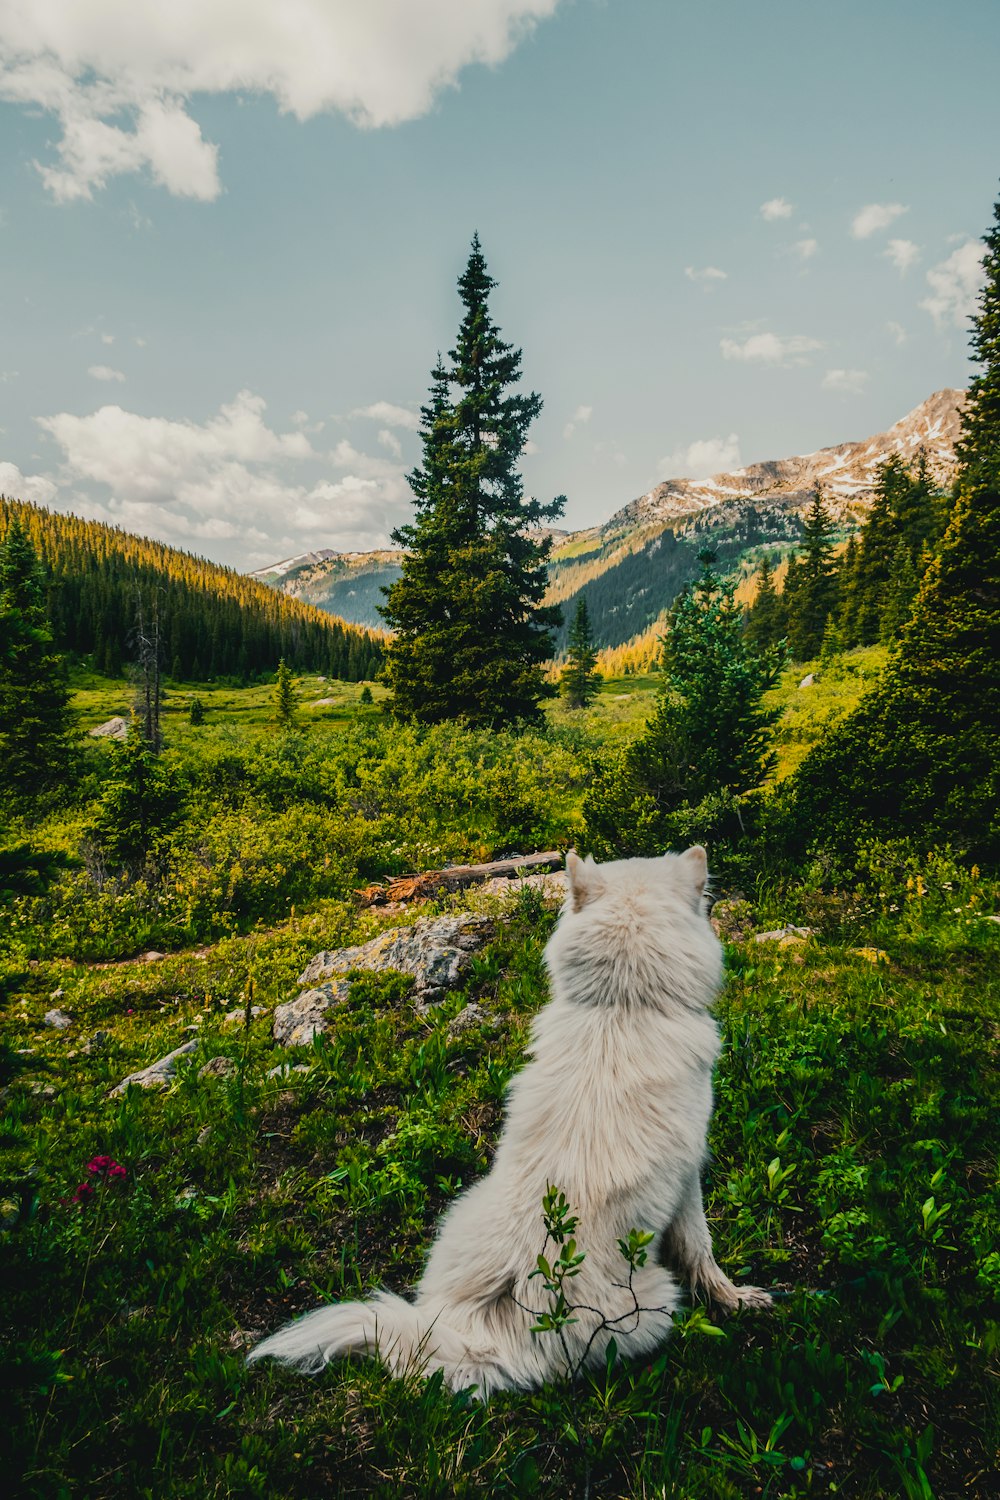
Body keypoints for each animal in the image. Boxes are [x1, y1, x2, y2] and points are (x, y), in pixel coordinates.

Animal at [250, 846, 773, 1392]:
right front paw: (735, 1300)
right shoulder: (689, 1178)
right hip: (654, 1303)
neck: (620, 1007)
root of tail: (489, 1339)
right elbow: (701, 1250)